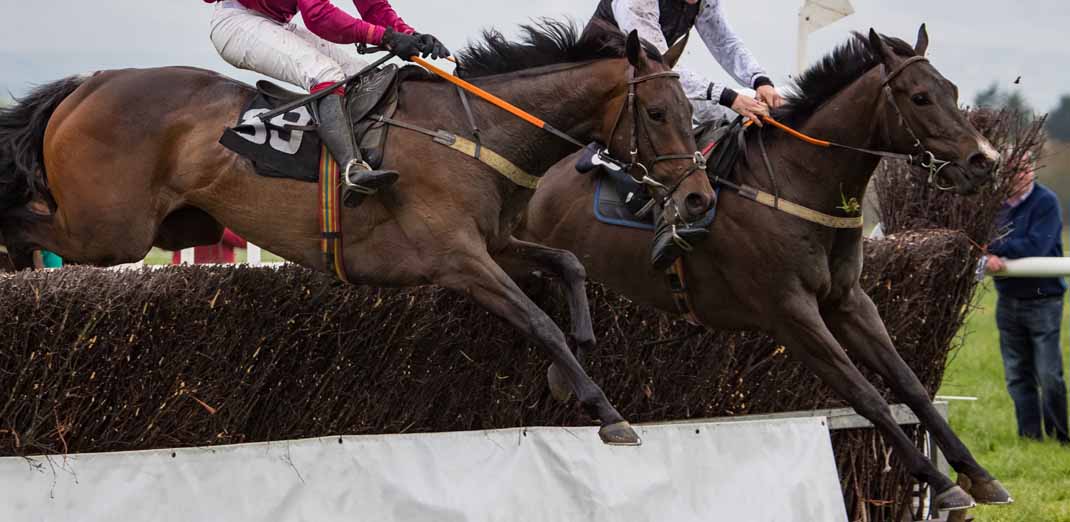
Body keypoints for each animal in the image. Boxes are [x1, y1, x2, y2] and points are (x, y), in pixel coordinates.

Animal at [2, 23, 719, 444]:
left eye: (693, 111)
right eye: (659, 113)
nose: (699, 197)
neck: (475, 132)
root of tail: (88, 83)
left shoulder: (497, 245)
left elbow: (570, 264)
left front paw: (574, 363)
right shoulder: (459, 259)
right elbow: (538, 320)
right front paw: (605, 408)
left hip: (169, 222)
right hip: (108, 230)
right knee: (23, 221)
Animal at [517, 27, 1010, 509]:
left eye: (952, 90)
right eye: (920, 97)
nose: (984, 161)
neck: (797, 186)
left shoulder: (849, 302)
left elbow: (909, 383)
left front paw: (978, 474)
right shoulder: (789, 313)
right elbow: (866, 395)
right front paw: (939, 481)